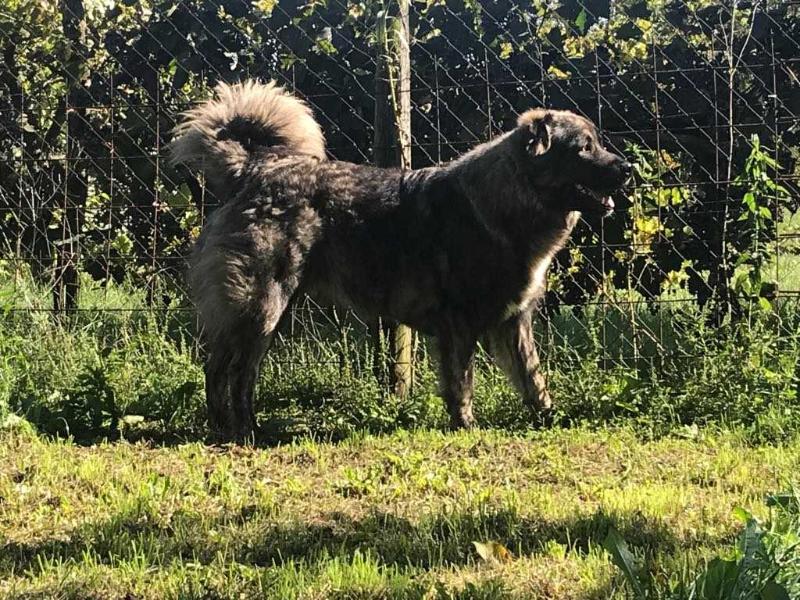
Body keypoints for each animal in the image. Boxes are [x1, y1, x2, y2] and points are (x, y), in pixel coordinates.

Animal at [170, 79, 632, 438]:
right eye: (583, 148)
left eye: (597, 143)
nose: (626, 168)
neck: (509, 199)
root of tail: (255, 167)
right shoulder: (459, 324)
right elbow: (462, 382)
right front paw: (465, 426)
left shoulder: (515, 321)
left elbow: (533, 379)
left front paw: (550, 418)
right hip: (262, 306)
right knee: (227, 370)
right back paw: (238, 430)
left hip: (264, 314)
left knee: (229, 371)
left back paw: (236, 427)